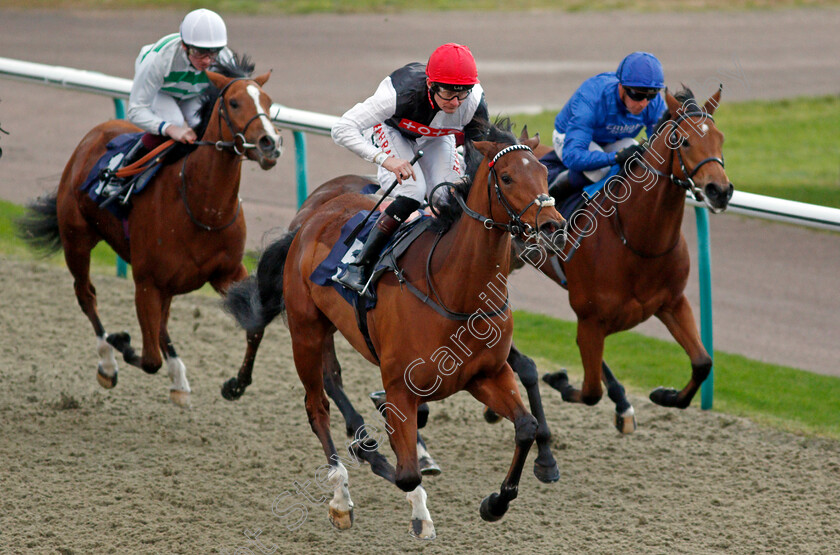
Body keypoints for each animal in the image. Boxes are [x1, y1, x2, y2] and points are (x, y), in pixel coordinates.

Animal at [15, 56, 282, 408]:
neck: (201, 208)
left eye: (268, 101)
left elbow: (255, 325)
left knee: (160, 324)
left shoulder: (227, 272)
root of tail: (94, 134)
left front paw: (235, 384)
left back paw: (178, 379)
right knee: (87, 295)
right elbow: (150, 358)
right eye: (235, 102)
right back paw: (108, 361)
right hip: (77, 240)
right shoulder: (145, 281)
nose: (270, 144)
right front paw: (120, 341)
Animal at [223, 125, 564, 540]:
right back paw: (341, 495)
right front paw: (416, 504)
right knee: (317, 406)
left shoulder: (486, 375)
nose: (552, 225)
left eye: (545, 174)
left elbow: (526, 426)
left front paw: (496, 502)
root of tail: (308, 220)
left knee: (331, 380)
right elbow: (406, 474)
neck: (455, 289)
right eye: (508, 177)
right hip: (306, 331)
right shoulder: (402, 384)